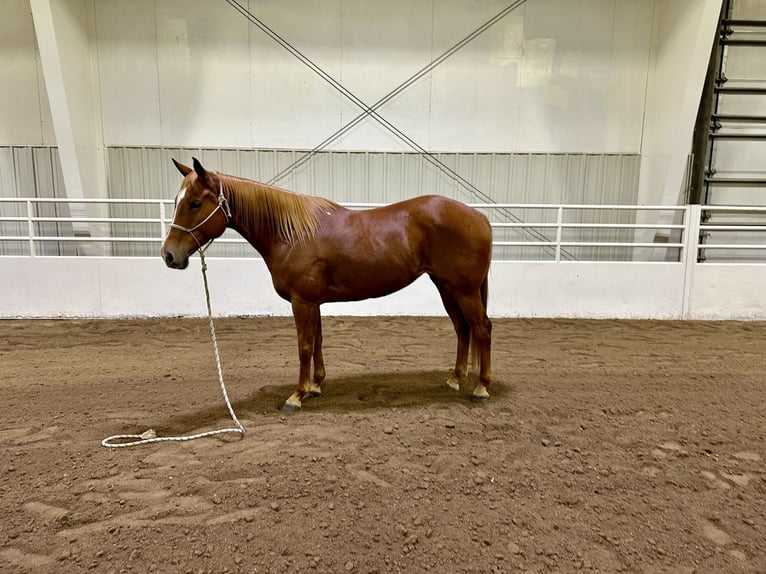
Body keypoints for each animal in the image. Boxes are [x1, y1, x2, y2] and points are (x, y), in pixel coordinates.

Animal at [164, 156, 496, 410]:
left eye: (195, 203)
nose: (169, 255)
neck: (291, 234)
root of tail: (479, 216)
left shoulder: (302, 302)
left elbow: (303, 346)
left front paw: (296, 396)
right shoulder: (314, 302)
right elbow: (317, 342)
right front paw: (315, 385)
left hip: (464, 290)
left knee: (481, 328)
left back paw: (481, 387)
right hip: (447, 287)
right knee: (462, 328)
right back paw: (454, 379)